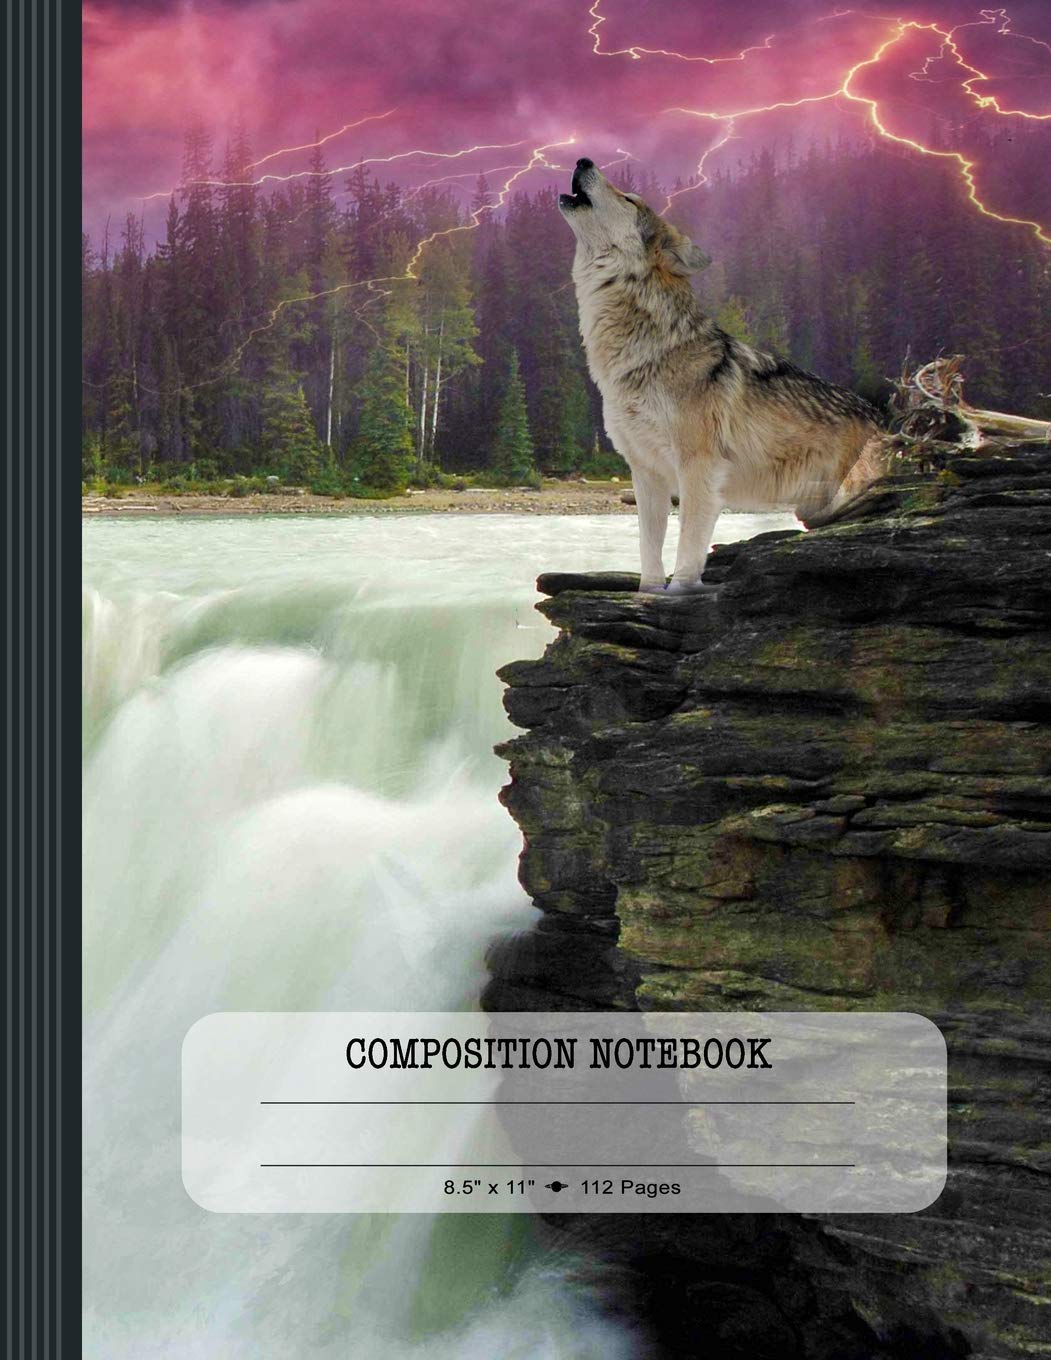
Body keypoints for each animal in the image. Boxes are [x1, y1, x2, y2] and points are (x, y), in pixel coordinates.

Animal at [558, 158, 885, 593]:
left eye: (628, 199)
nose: (583, 161)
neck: (642, 355)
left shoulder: (698, 467)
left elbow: (688, 548)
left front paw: (680, 592)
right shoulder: (645, 474)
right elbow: (649, 550)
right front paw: (648, 594)